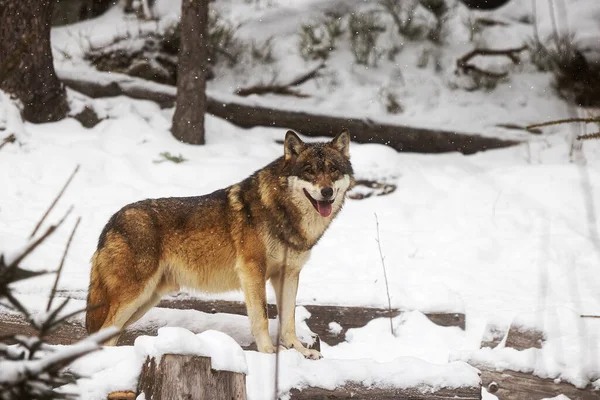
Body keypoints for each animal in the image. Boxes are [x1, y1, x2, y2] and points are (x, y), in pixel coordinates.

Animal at [86, 129, 354, 360]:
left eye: (333, 170)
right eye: (309, 171)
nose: (327, 192)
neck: (281, 211)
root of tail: (110, 222)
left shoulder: (288, 274)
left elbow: (288, 320)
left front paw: (300, 351)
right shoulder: (252, 271)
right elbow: (262, 317)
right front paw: (268, 353)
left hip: (145, 301)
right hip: (134, 297)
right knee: (103, 333)